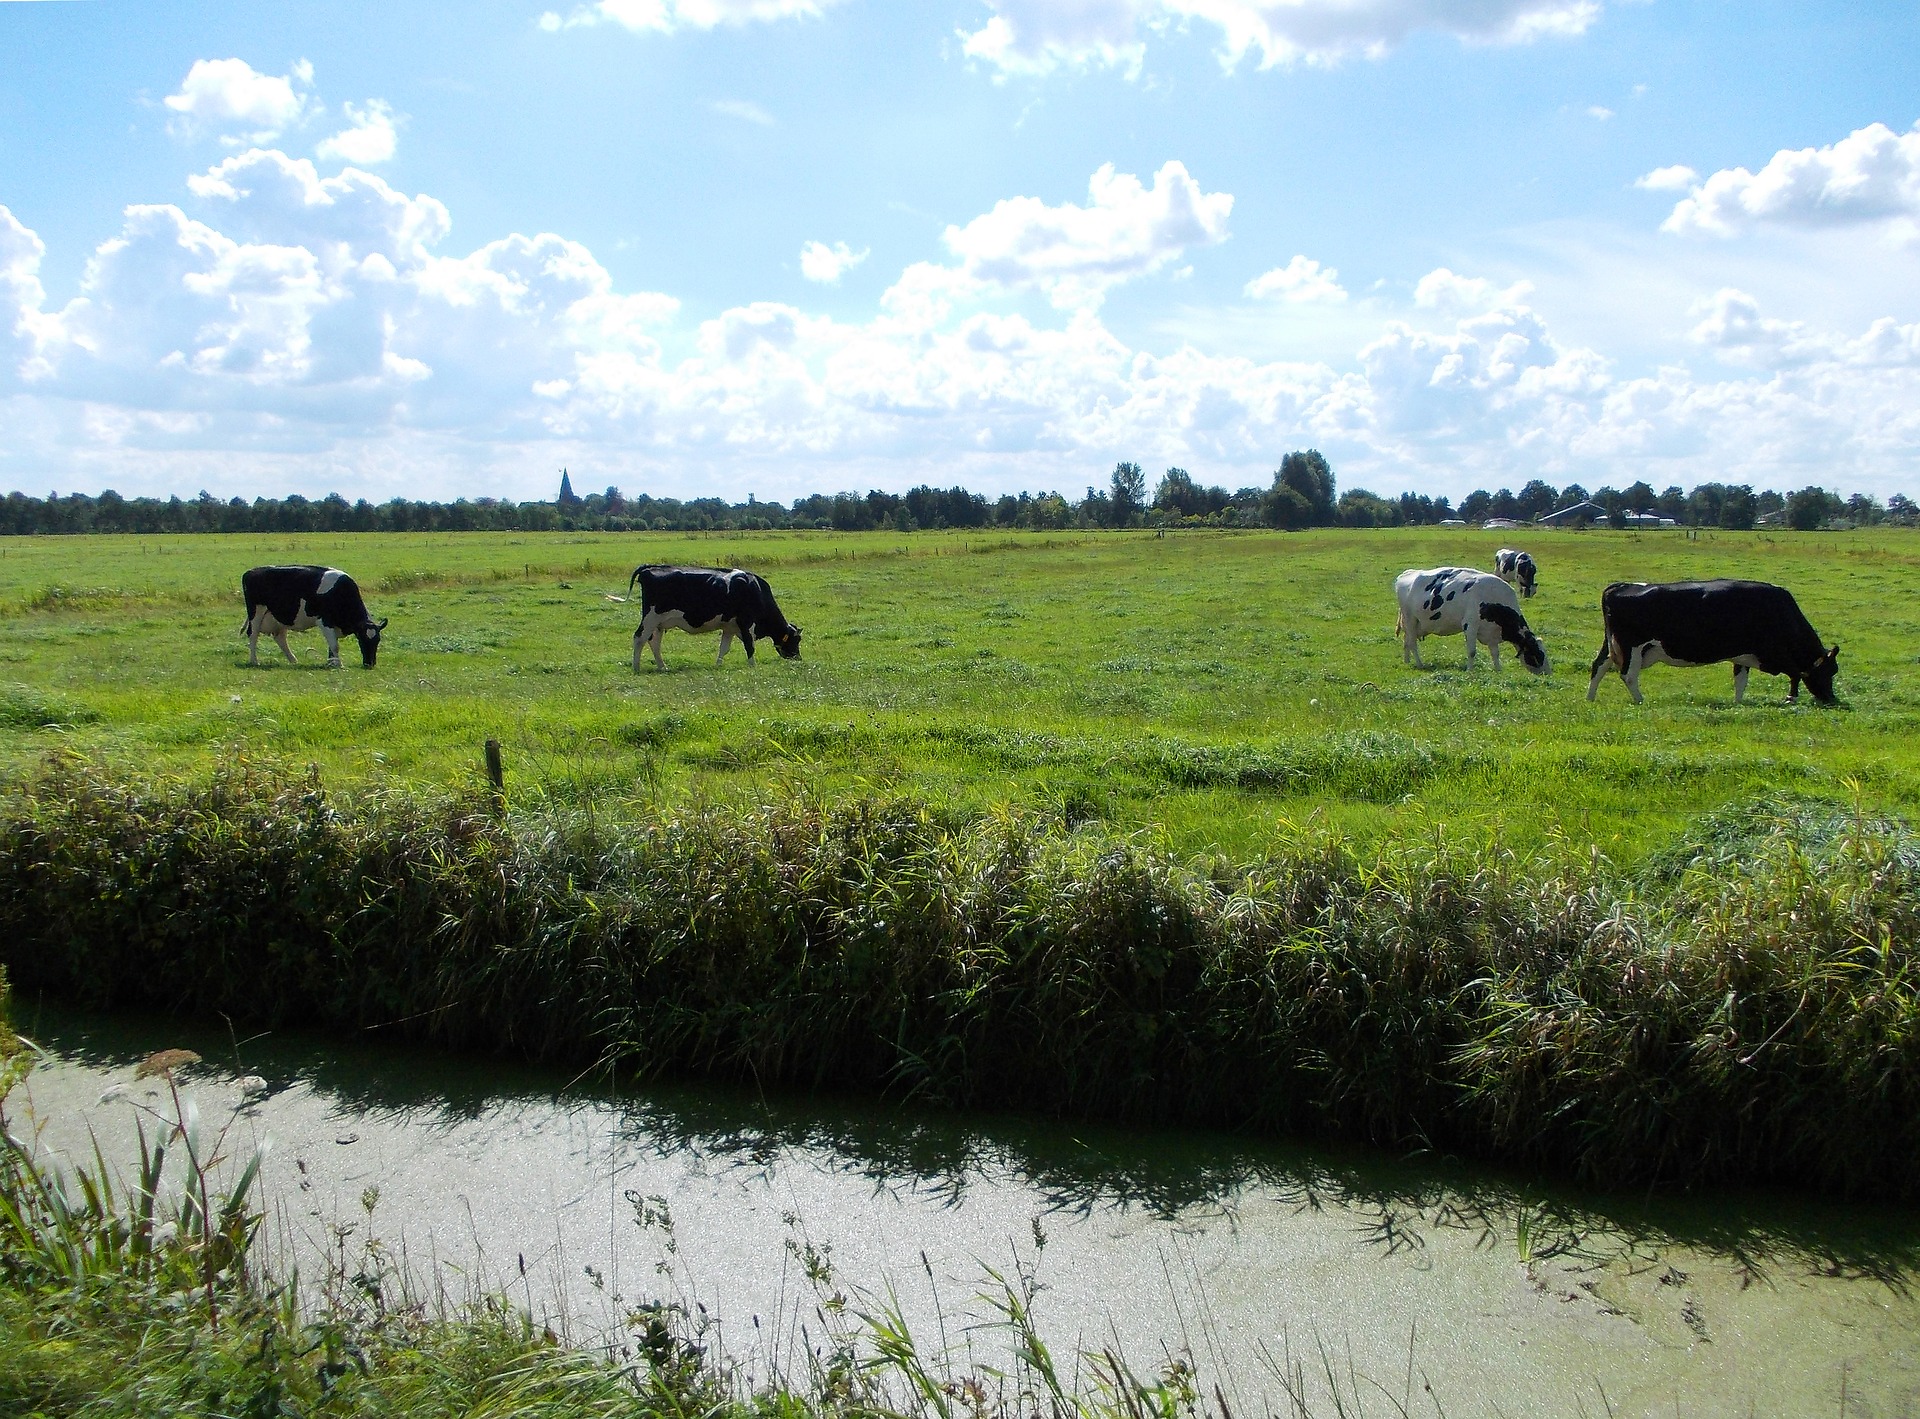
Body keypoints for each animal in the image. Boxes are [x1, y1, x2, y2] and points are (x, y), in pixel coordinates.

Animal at [241, 564, 387, 672]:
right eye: (361, 640)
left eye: (378, 641)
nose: (370, 664)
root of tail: (250, 571)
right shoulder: (324, 620)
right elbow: (335, 646)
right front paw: (338, 665)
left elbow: (331, 645)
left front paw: (331, 663)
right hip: (256, 612)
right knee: (253, 634)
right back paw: (254, 661)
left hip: (279, 618)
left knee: (280, 638)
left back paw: (293, 660)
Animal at [629, 564, 802, 672]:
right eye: (796, 640)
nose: (798, 658)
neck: (757, 589)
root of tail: (650, 567)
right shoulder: (746, 623)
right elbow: (749, 646)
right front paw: (753, 665)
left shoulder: (729, 627)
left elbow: (724, 648)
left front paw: (718, 665)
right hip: (651, 617)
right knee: (639, 638)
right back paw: (636, 667)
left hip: (658, 623)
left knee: (654, 642)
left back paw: (662, 667)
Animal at [1390, 568, 1551, 675]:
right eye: (1538, 654)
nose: (1548, 673)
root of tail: (1407, 573)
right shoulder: (1470, 624)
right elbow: (1472, 651)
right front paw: (1469, 670)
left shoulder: (1492, 632)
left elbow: (1495, 653)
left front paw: (1498, 669)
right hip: (1410, 618)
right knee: (1412, 643)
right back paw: (1419, 664)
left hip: (1414, 624)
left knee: (1406, 641)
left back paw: (1407, 661)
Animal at [1582, 579, 1835, 706]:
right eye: (1829, 672)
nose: (1831, 699)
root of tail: (1620, 585)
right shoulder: (1773, 654)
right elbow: (1795, 673)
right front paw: (1791, 698)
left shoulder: (1743, 655)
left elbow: (1741, 681)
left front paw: (1738, 703)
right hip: (1631, 645)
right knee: (1628, 675)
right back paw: (1641, 700)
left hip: (1612, 644)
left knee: (1599, 665)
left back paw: (1590, 698)